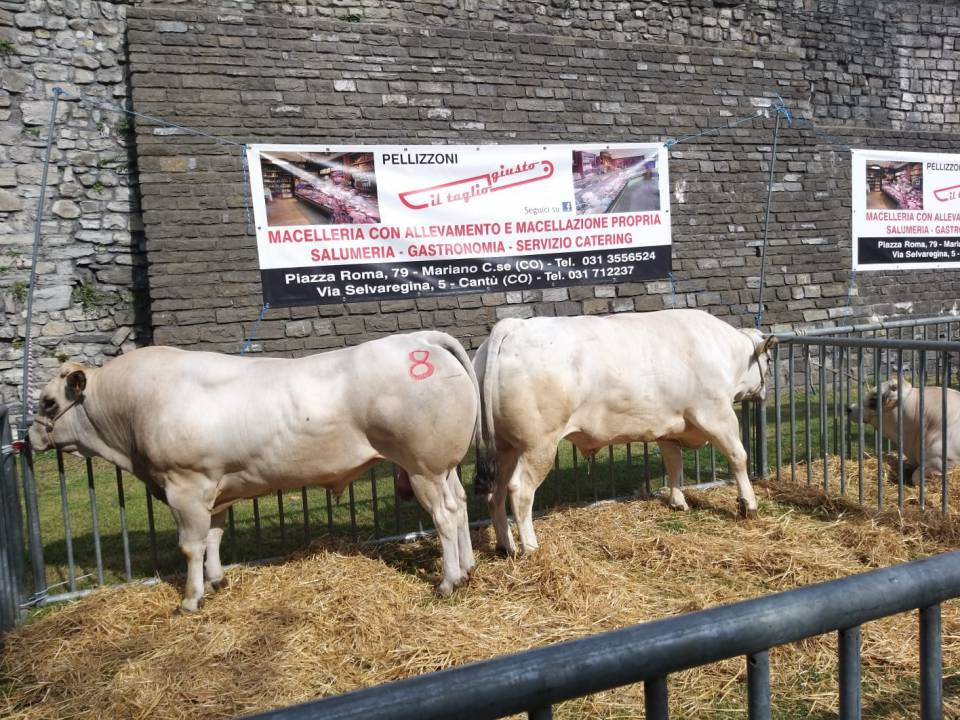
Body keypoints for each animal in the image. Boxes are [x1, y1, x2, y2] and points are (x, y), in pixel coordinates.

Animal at [29, 330, 480, 608]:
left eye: (48, 402)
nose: (31, 437)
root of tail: (420, 339)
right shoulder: (215, 487)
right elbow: (214, 537)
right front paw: (217, 580)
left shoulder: (185, 484)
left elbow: (191, 545)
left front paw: (190, 599)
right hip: (444, 466)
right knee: (459, 506)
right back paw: (468, 568)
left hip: (422, 466)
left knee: (444, 515)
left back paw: (448, 581)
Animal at [476, 310, 776, 556]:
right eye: (770, 359)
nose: (765, 392)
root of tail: (514, 326)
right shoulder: (717, 415)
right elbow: (738, 457)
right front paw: (748, 505)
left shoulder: (669, 428)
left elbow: (674, 464)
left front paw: (678, 501)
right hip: (539, 444)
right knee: (520, 491)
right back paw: (530, 548)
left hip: (505, 446)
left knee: (495, 493)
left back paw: (506, 546)